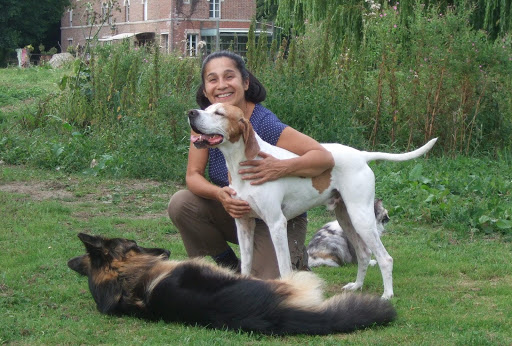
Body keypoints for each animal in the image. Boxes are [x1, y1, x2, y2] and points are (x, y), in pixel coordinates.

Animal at [188, 103, 436, 300]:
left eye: (219, 113)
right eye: (206, 107)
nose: (191, 112)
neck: (243, 162)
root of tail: (360, 154)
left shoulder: (277, 225)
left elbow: (284, 267)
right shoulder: (244, 224)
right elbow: (246, 265)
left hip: (362, 219)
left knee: (385, 258)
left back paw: (387, 294)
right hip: (346, 218)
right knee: (364, 255)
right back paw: (357, 286)